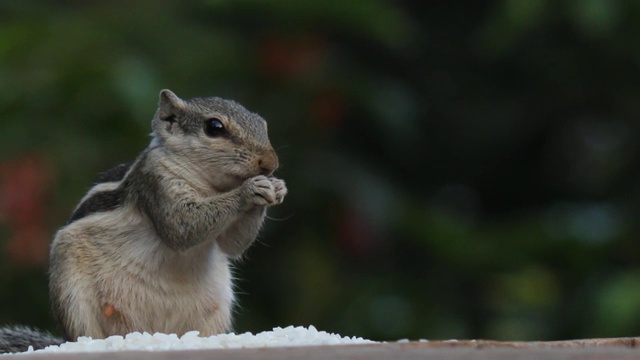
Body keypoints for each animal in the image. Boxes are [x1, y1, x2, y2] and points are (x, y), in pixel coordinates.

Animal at [0, 88, 288, 352]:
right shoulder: (156, 182)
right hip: (71, 291)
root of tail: (147, 332)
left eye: (262, 124)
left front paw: (276, 188)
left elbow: (232, 245)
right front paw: (249, 190)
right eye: (214, 127)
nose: (270, 163)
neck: (210, 186)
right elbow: (183, 227)